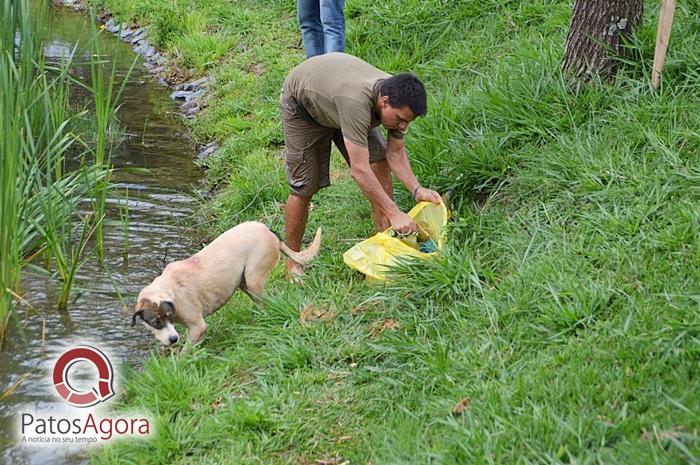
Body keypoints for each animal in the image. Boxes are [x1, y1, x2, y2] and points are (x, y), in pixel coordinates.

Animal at [132, 221, 322, 344]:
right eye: (156, 322)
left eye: (169, 317)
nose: (173, 339)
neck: (168, 290)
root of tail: (267, 230)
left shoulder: (197, 327)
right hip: (245, 283)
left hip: (254, 278)